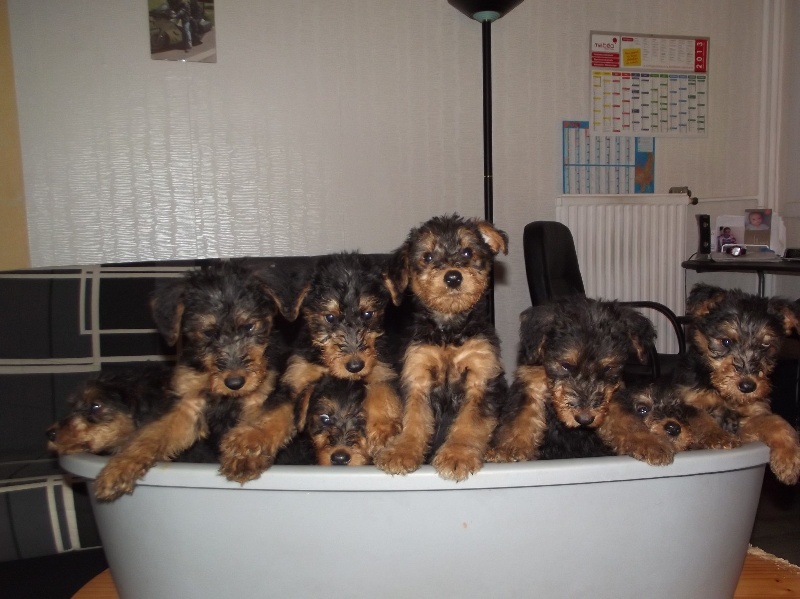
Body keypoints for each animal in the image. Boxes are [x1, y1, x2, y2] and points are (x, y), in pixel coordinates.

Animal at [94, 260, 294, 500]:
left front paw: (244, 454)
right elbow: (152, 434)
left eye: (249, 326)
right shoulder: (187, 403)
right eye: (207, 333)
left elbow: (264, 421)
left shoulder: (265, 395)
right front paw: (118, 468)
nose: (235, 383)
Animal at [374, 213, 510, 480]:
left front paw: (457, 456)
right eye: (427, 257)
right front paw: (402, 451)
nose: (453, 277)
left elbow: (469, 423)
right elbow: (415, 420)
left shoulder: (480, 378)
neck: (449, 332)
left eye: (468, 252)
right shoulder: (418, 376)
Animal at [488, 296, 676, 464]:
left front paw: (649, 443)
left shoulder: (614, 395)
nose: (584, 419)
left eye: (608, 368)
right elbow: (520, 418)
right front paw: (508, 449)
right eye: (565, 365)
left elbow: (627, 420)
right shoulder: (530, 385)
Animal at [676, 284, 800, 486]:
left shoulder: (750, 418)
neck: (724, 395)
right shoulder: (688, 403)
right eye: (726, 342)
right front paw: (719, 437)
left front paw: (789, 461)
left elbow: (777, 423)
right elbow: (701, 419)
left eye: (765, 346)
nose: (748, 387)